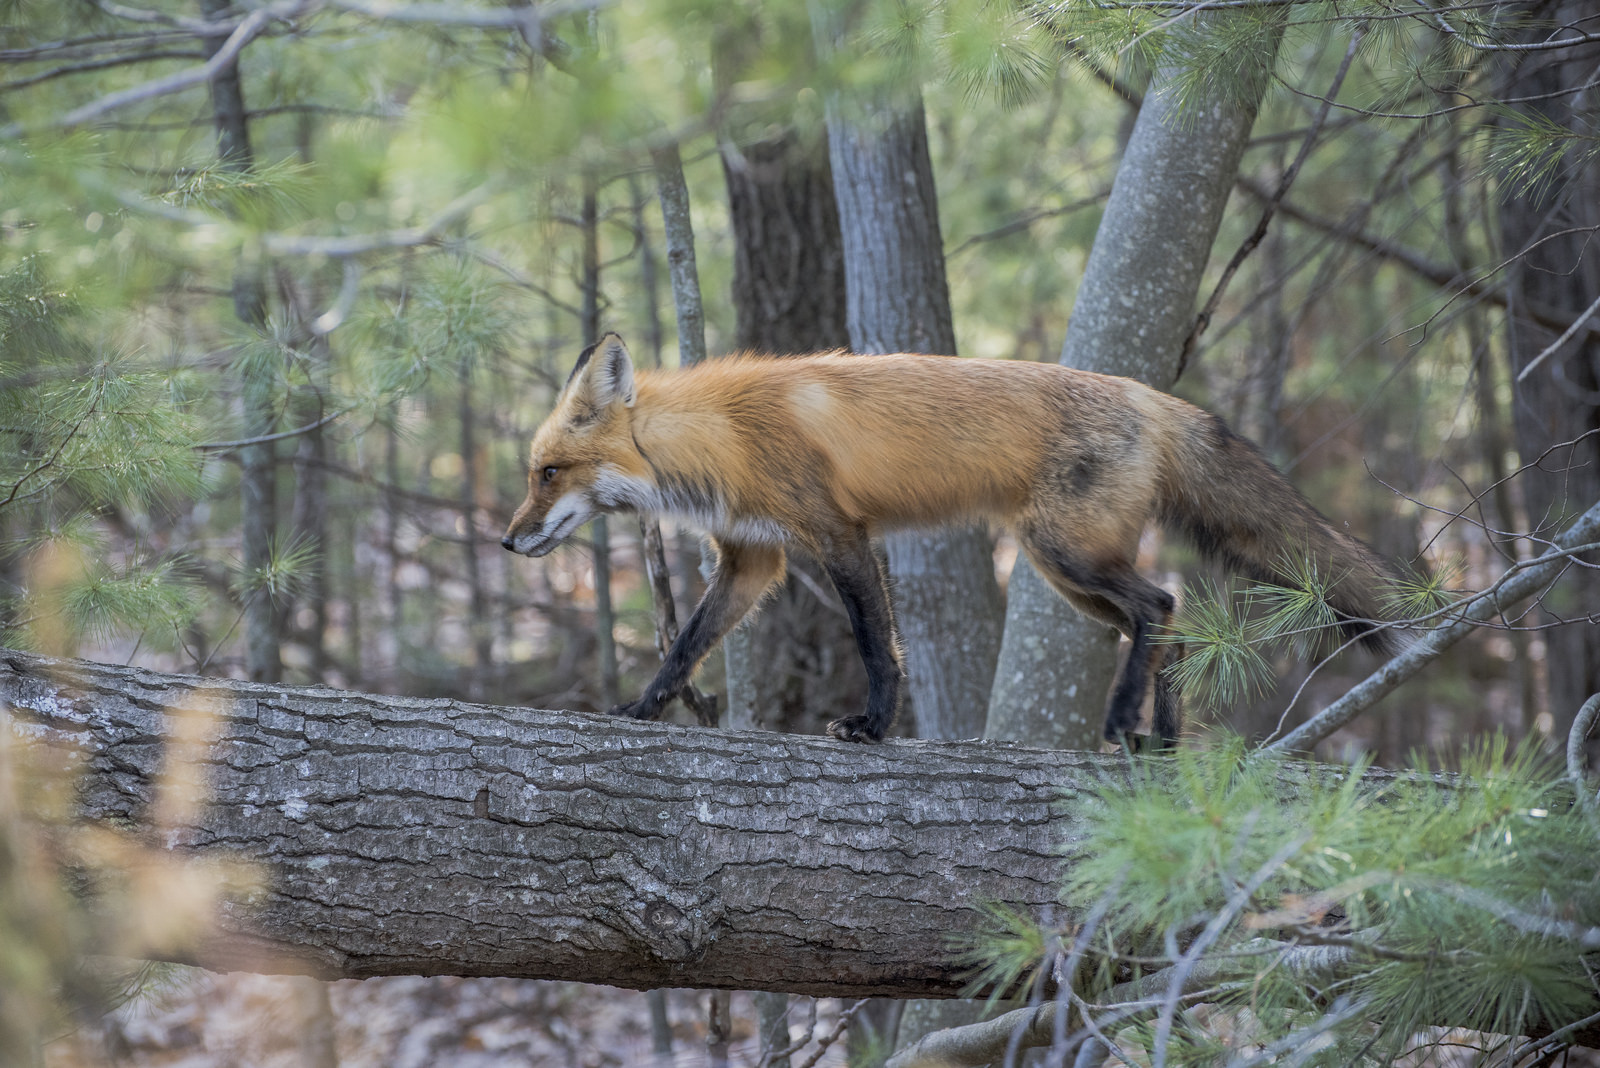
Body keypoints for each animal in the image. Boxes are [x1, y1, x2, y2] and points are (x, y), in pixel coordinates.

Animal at [502, 333, 1399, 748]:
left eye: (547, 472)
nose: (507, 543)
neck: (720, 436)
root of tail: (1150, 395)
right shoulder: (755, 558)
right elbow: (685, 646)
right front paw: (643, 709)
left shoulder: (841, 535)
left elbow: (877, 645)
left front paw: (873, 726)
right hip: (1065, 572)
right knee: (1172, 623)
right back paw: (1162, 740)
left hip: (1066, 553)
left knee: (1160, 603)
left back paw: (1121, 719)